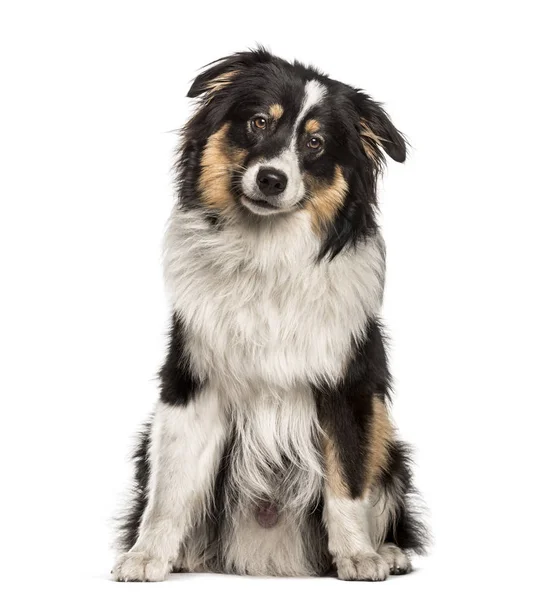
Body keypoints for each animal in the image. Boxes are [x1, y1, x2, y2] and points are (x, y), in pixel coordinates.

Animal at [113, 49, 426, 584]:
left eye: (316, 143)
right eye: (259, 122)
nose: (271, 179)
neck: (265, 255)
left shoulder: (347, 387)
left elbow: (346, 482)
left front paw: (358, 555)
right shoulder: (192, 384)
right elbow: (170, 488)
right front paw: (147, 555)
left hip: (390, 440)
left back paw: (387, 551)